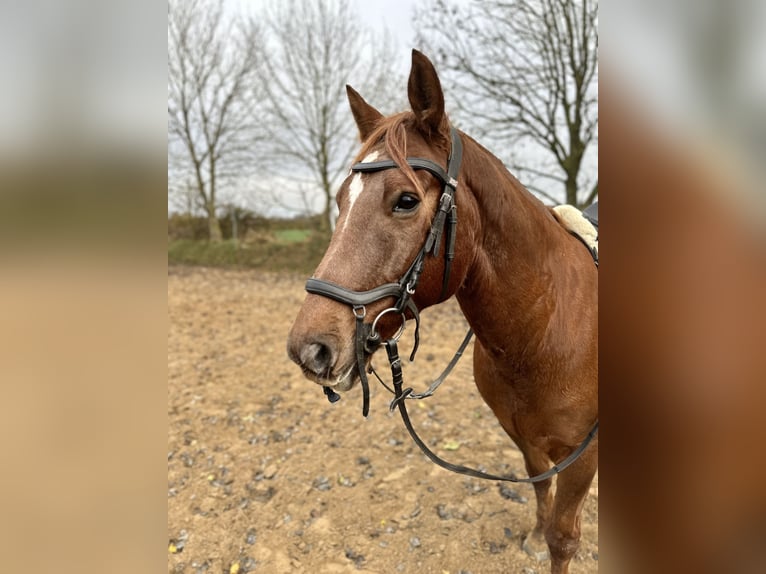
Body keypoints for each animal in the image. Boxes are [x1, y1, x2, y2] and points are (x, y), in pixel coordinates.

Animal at [290, 51, 600, 572]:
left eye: (406, 200)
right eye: (340, 201)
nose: (309, 349)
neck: (544, 331)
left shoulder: (583, 456)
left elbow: (564, 538)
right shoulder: (526, 439)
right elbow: (540, 490)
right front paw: (534, 537)